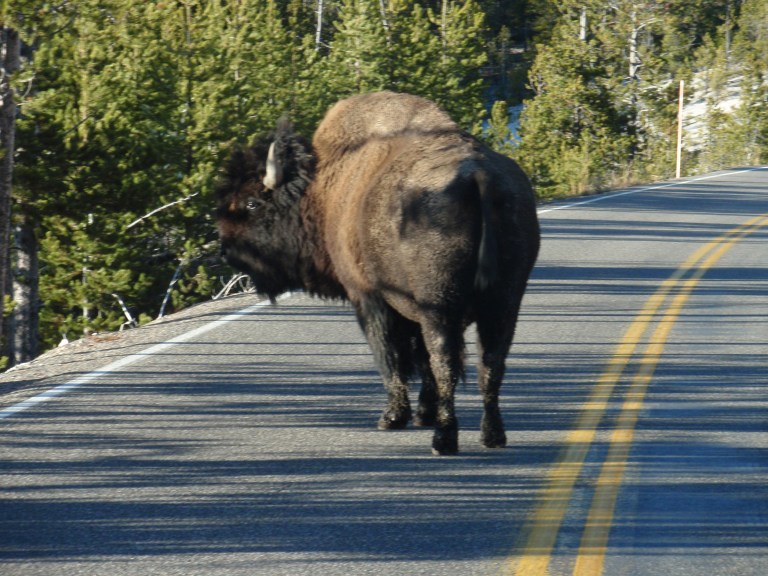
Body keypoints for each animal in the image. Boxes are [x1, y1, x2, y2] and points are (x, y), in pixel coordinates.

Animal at [216, 91, 540, 455]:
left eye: (252, 203)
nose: (225, 249)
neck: (324, 184)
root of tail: (477, 175)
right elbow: (420, 359)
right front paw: (422, 414)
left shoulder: (369, 298)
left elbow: (389, 355)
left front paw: (393, 417)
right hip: (505, 301)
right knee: (491, 362)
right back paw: (492, 435)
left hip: (439, 306)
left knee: (444, 361)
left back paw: (443, 439)